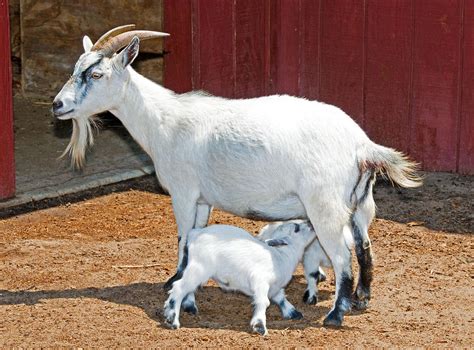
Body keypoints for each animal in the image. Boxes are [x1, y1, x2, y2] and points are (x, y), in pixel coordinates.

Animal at [52, 26, 422, 326]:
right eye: (76, 69)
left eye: (96, 75)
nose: (57, 105)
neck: (164, 119)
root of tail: (361, 145)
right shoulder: (202, 200)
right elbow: (195, 235)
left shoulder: (183, 192)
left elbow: (182, 236)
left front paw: (174, 282)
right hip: (359, 203)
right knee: (365, 245)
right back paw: (361, 299)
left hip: (324, 205)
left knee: (343, 255)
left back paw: (335, 315)